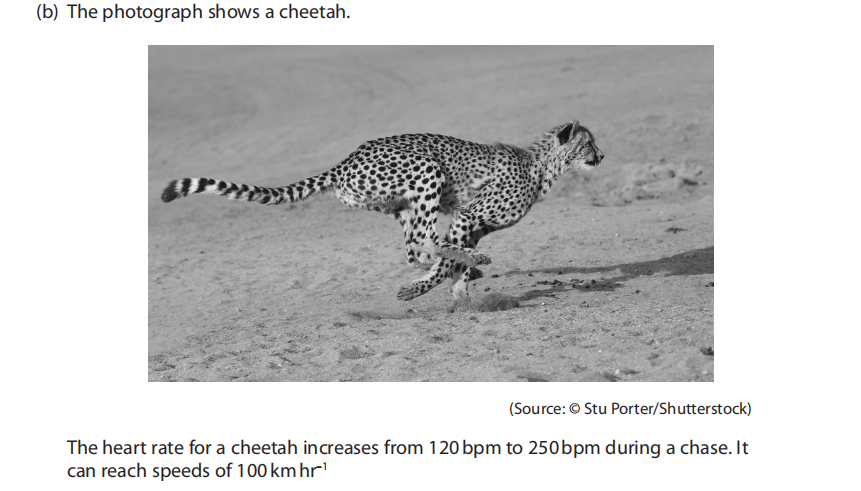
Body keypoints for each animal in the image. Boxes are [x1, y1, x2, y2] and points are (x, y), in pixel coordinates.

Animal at [161, 120, 604, 301]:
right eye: (588, 143)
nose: (601, 156)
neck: (541, 166)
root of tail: (346, 159)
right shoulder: (467, 218)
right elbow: (448, 259)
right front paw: (428, 289)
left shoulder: (473, 226)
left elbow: (449, 263)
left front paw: (459, 289)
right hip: (427, 172)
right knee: (423, 242)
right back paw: (463, 265)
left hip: (402, 203)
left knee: (413, 248)